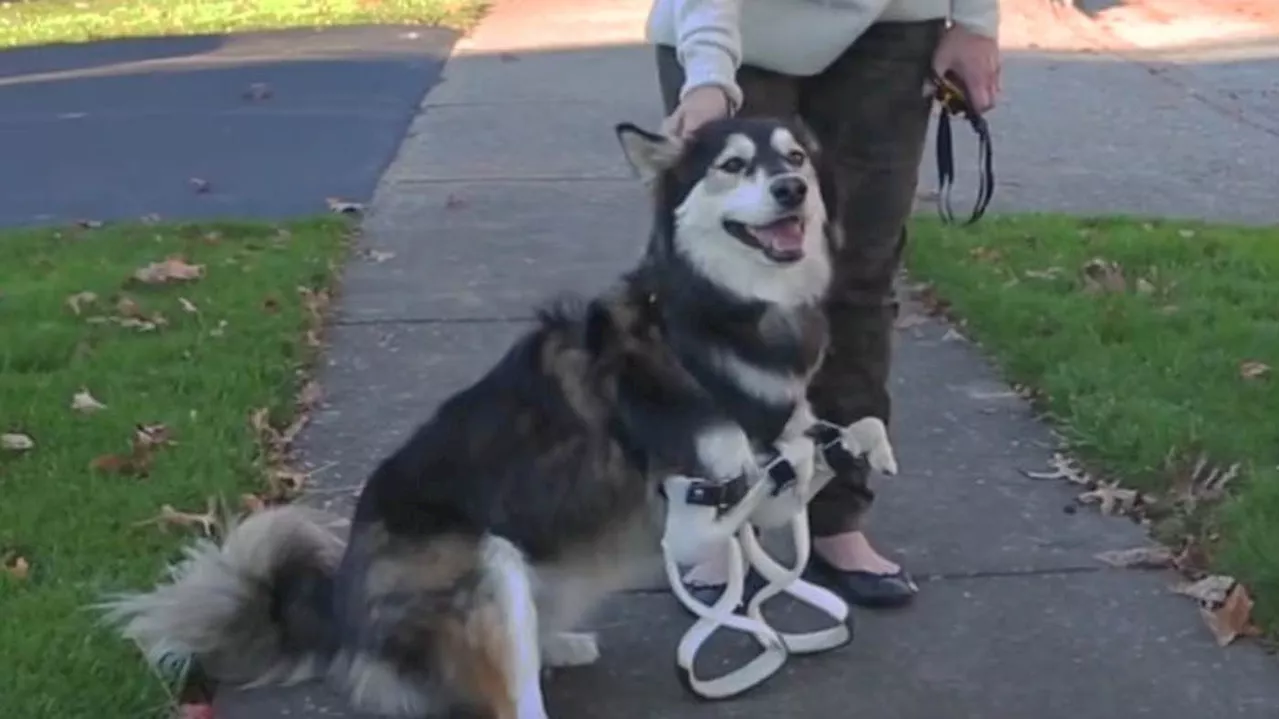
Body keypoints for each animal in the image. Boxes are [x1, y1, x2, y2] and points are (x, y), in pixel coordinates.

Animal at [102, 114, 880, 711]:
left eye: (796, 157)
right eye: (734, 165)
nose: (791, 188)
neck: (714, 316)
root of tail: (345, 618)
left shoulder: (772, 478)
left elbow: (798, 460)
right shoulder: (697, 506)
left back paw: (556, 642)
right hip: (484, 564)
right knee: (508, 692)